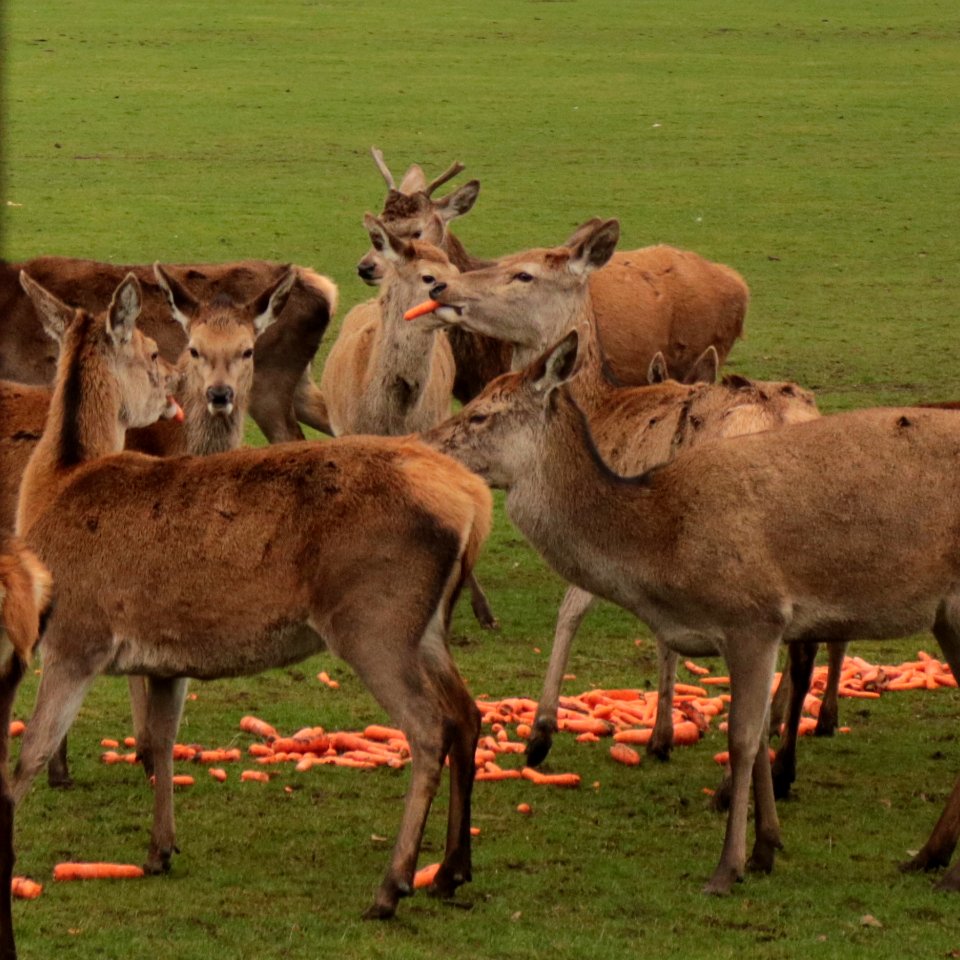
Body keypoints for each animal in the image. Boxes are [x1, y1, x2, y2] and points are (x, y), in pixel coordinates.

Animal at [422, 332, 960, 900]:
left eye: (481, 414)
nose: (424, 444)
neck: (665, 544)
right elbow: (760, 728)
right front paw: (767, 848)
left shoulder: (755, 615)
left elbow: (742, 739)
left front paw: (728, 867)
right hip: (946, 616)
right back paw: (929, 855)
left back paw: (944, 866)